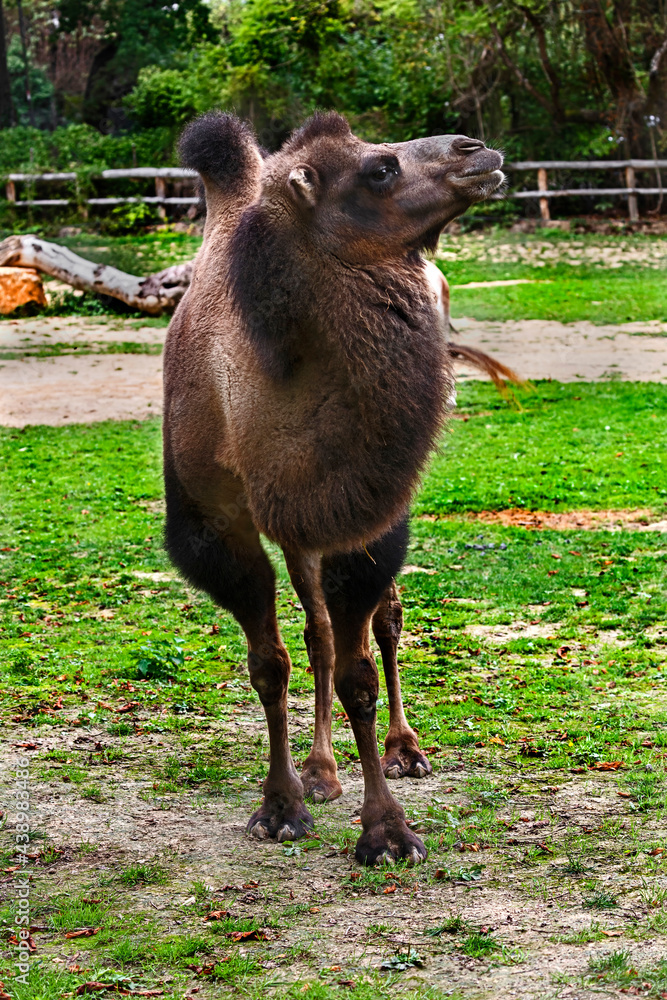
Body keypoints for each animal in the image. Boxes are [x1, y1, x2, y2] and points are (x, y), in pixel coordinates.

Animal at [163, 110, 505, 865]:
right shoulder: (224, 527)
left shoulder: (363, 514)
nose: (477, 148)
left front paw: (387, 832)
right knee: (316, 631)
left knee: (386, 619)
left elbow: (359, 673)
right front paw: (280, 805)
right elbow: (271, 661)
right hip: (296, 531)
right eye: (378, 169)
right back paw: (319, 772)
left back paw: (405, 749)